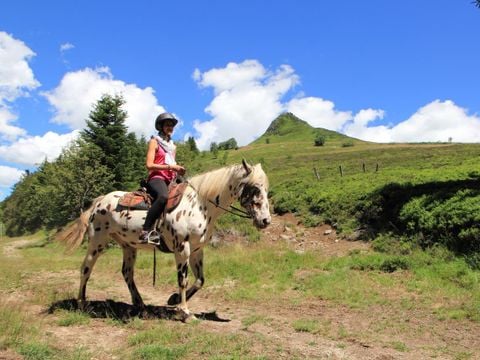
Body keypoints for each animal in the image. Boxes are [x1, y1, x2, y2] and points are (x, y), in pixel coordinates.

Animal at [56, 160, 270, 318]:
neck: (200, 205)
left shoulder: (197, 251)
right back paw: (82, 303)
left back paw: (140, 305)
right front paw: (184, 311)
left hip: (128, 246)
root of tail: (100, 201)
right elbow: (183, 280)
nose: (265, 221)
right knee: (86, 268)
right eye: (254, 189)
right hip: (97, 242)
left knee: (127, 273)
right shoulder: (182, 249)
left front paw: (173, 300)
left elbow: (200, 280)